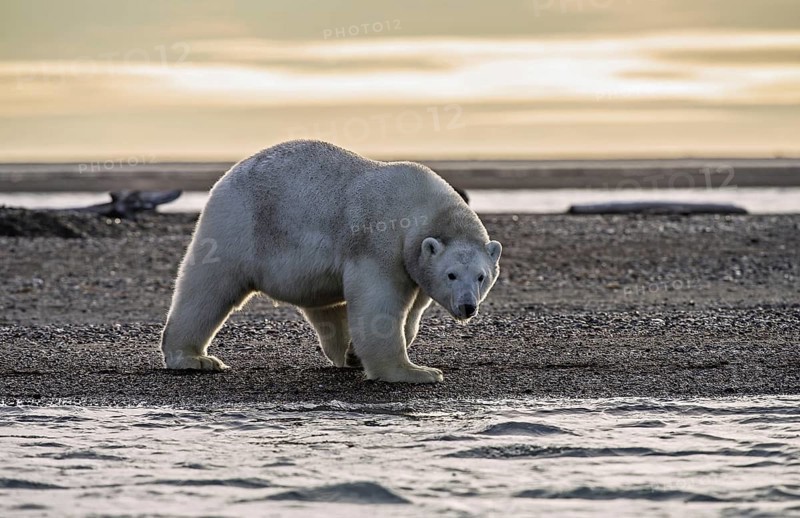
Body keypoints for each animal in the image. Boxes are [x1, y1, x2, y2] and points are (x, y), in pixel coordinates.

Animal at [160, 140, 502, 383]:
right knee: (208, 288)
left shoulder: (414, 265)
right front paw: (415, 372)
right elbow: (379, 304)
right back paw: (193, 357)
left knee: (325, 306)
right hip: (237, 225)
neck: (422, 205)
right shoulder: (380, 242)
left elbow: (413, 312)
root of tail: (227, 176)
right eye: (451, 275)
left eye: (481, 276)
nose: (468, 306)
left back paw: (346, 353)